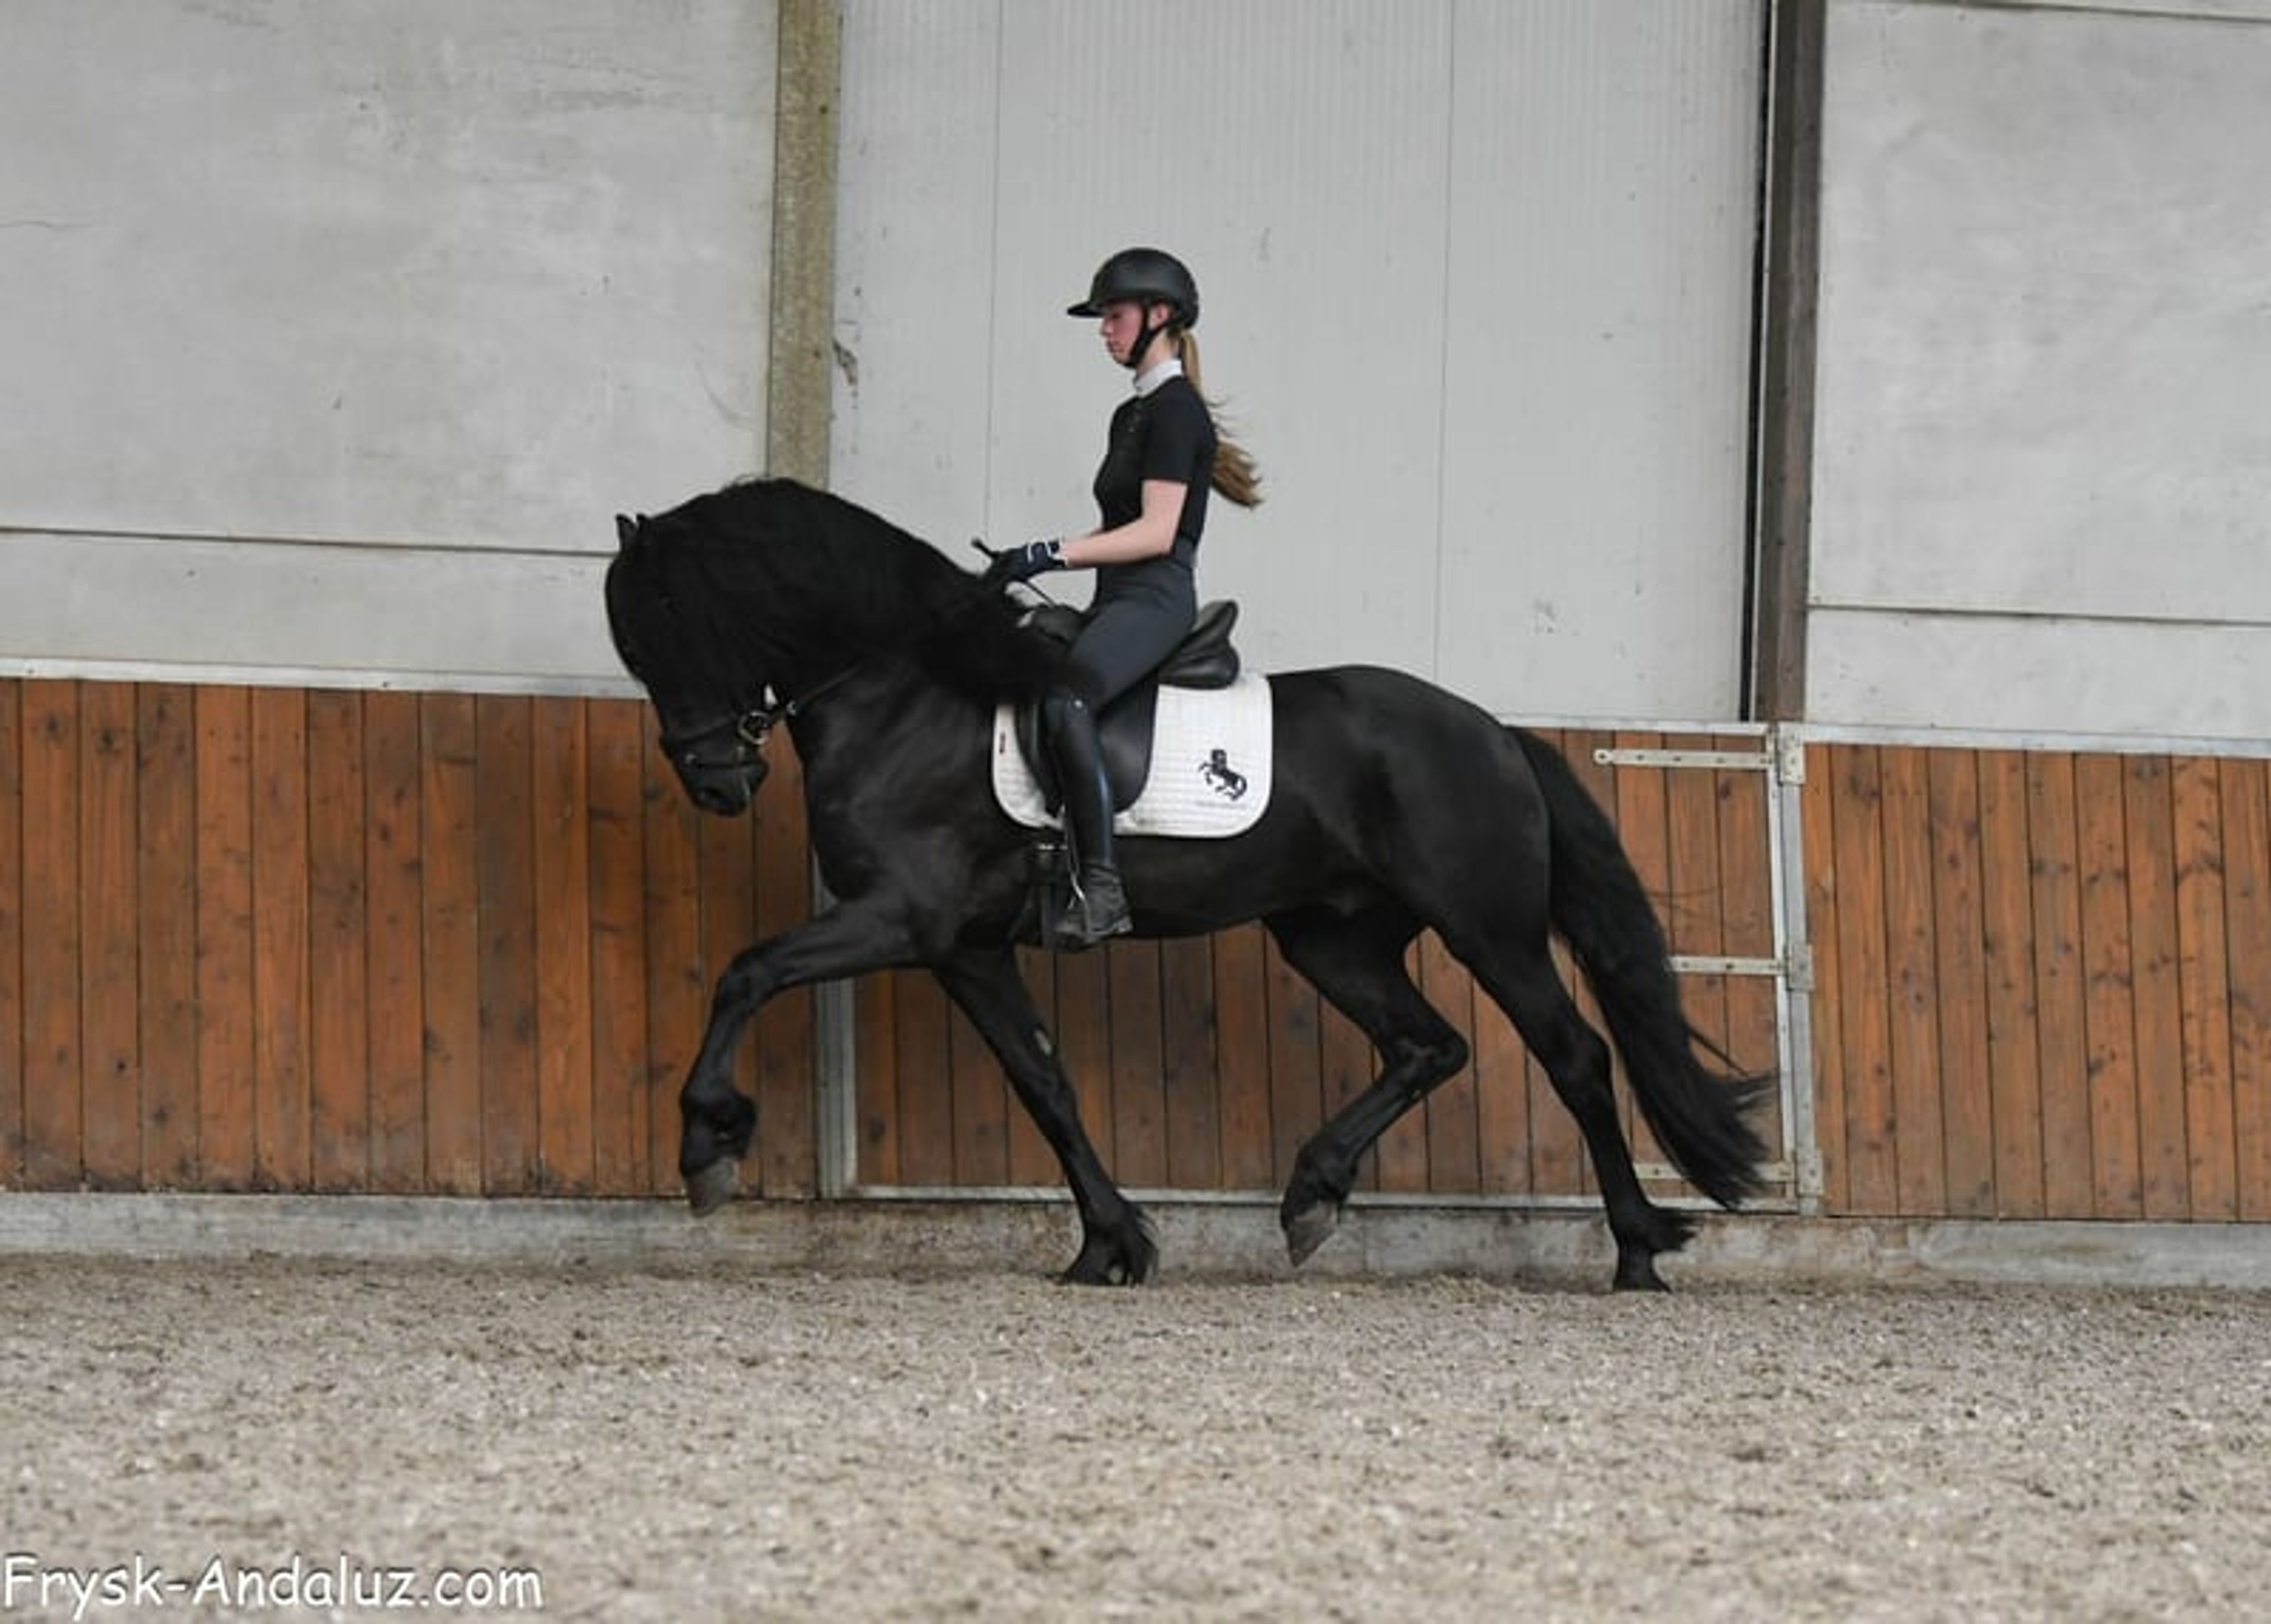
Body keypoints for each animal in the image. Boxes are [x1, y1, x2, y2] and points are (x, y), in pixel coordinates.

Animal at [604, 477, 1771, 1291]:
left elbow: (746, 973)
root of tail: (1494, 731)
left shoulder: (901, 916)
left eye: (670, 626)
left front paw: (706, 1143)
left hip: (1490, 927)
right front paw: (1111, 1245)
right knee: (1427, 1045)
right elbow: (1045, 1083)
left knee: (1573, 1057)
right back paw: (1312, 1195)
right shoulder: (965, 947)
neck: (909, 686)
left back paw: (1636, 1252)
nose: (717, 782)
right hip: (1331, 935)